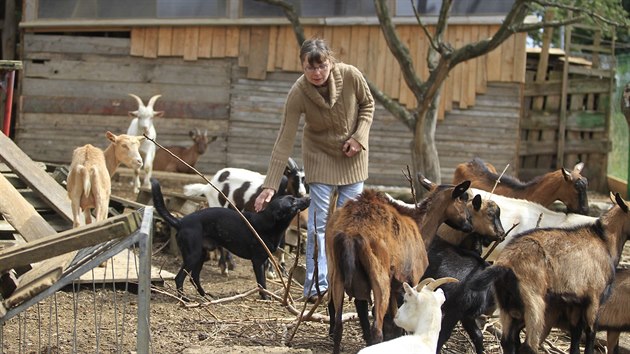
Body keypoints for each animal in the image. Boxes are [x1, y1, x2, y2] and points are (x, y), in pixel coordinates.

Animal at [328, 183, 472, 354]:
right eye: (463, 199)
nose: (470, 225)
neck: (419, 226)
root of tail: (351, 233)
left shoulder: (394, 284)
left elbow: (393, 321)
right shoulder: (413, 279)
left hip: (337, 276)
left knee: (338, 327)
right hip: (380, 282)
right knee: (376, 329)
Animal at [478, 194, 630, 354]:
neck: (604, 241)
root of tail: (505, 264)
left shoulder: (575, 303)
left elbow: (576, 333)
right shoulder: (594, 297)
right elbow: (590, 331)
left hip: (508, 308)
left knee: (508, 341)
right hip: (534, 303)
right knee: (529, 345)